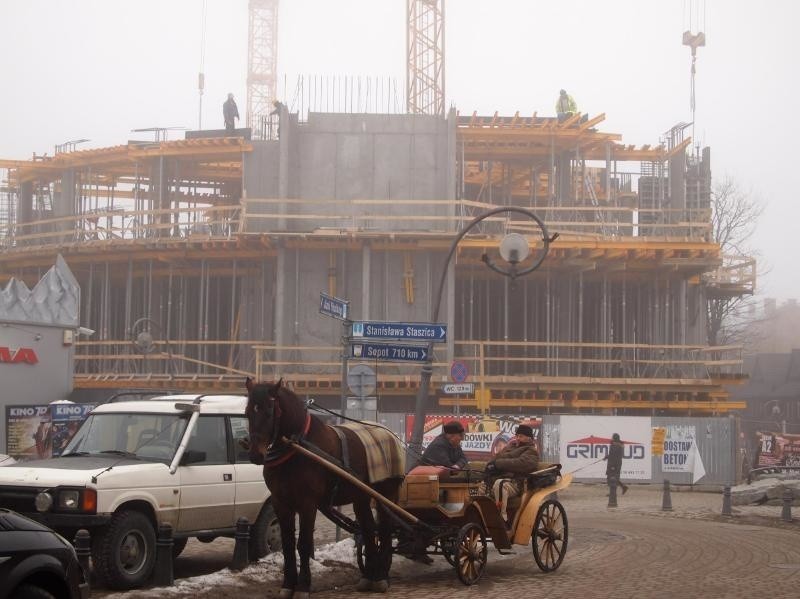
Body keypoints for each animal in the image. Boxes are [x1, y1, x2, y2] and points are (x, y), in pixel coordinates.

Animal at [244, 378, 404, 596]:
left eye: (269, 412)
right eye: (247, 412)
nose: (255, 454)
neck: (297, 446)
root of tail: (389, 433)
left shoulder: (307, 503)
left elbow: (303, 544)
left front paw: (303, 586)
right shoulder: (281, 503)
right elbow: (287, 544)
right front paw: (288, 585)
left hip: (386, 493)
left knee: (385, 529)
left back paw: (381, 577)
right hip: (361, 496)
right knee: (369, 528)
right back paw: (369, 576)